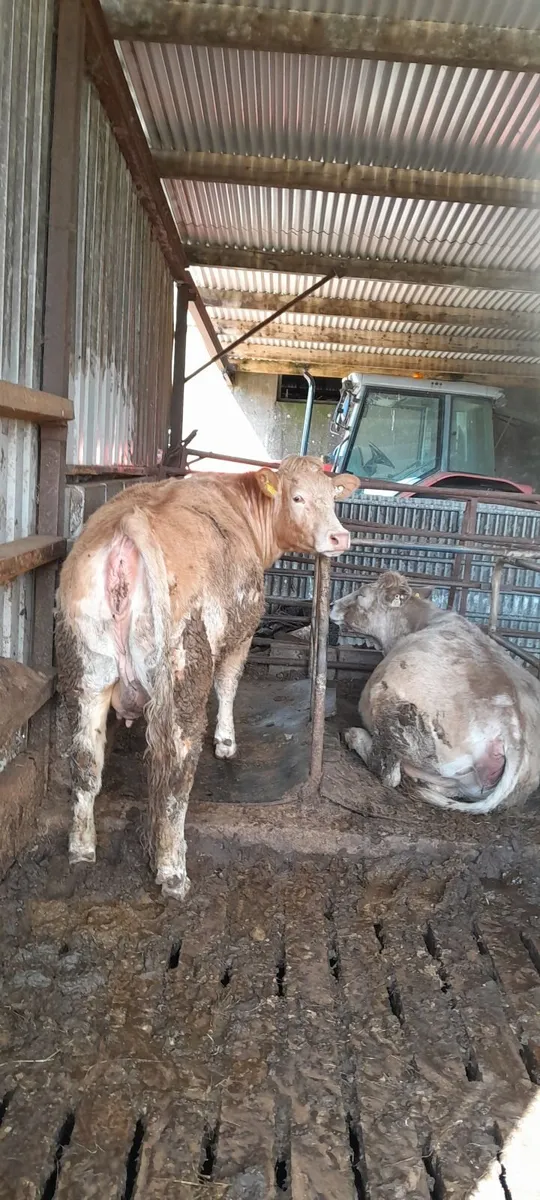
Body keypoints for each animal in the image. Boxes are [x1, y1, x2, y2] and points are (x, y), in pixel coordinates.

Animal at [56, 456, 358, 898]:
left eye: (331, 496)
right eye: (298, 497)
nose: (339, 537)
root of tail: (131, 519)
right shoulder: (243, 632)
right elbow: (229, 685)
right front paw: (226, 742)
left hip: (85, 673)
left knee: (84, 763)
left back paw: (81, 849)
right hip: (185, 671)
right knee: (176, 772)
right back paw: (173, 872)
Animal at [330, 570, 540, 814]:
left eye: (362, 594)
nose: (332, 604)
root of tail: (513, 729)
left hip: (395, 713)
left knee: (389, 772)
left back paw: (354, 735)